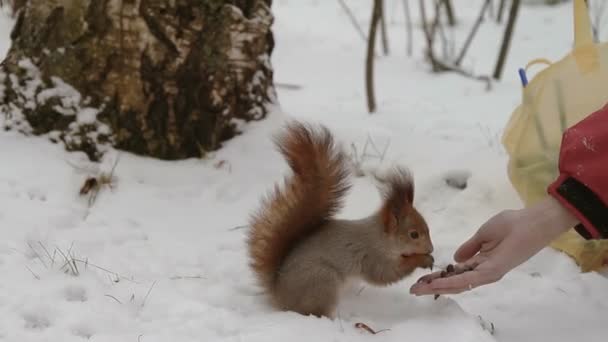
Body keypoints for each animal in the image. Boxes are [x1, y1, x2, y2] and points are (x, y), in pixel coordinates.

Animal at [245, 121, 434, 318]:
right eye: (413, 234)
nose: (430, 248)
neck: (380, 238)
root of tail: (280, 296)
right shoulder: (371, 256)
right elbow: (386, 274)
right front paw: (422, 260)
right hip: (322, 280)